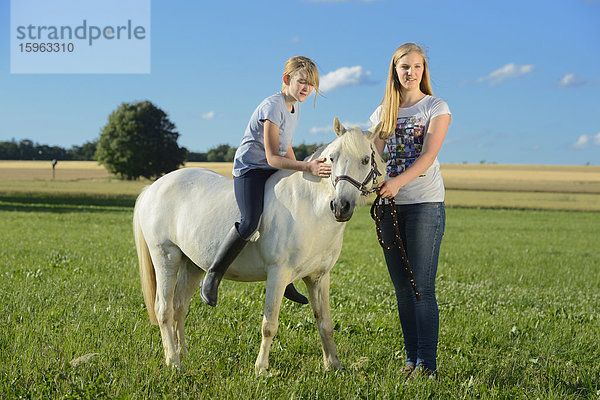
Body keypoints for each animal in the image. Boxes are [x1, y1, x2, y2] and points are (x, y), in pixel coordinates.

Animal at [134, 117, 382, 374]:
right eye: (332, 158)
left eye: (365, 159)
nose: (341, 206)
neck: (311, 208)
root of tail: (153, 188)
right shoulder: (278, 274)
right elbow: (269, 324)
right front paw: (261, 368)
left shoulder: (319, 277)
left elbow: (325, 323)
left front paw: (333, 365)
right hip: (166, 257)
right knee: (164, 309)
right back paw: (173, 361)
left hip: (191, 264)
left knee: (179, 307)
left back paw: (183, 354)